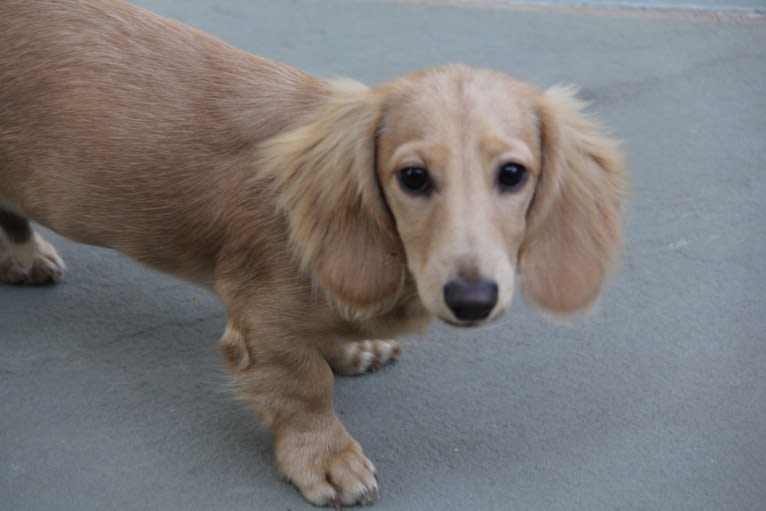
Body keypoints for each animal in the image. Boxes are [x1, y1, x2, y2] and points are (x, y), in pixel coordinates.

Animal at [0, 0, 628, 508]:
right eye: (413, 177)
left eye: (513, 174)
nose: (472, 299)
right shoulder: (261, 323)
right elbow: (304, 387)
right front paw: (327, 459)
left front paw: (351, 348)